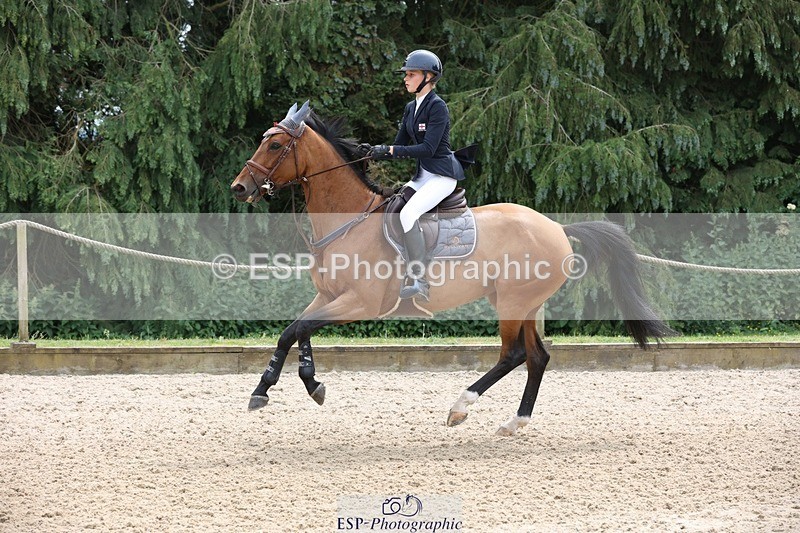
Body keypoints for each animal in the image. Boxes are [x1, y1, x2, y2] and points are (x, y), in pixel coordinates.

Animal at [230, 101, 674, 436]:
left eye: (274, 145)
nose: (239, 187)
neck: (349, 219)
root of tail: (557, 228)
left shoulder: (359, 303)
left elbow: (298, 328)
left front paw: (291, 385)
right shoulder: (328, 296)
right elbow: (295, 330)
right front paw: (287, 384)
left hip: (512, 302)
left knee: (513, 355)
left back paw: (461, 406)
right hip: (524, 304)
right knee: (537, 357)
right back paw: (515, 422)